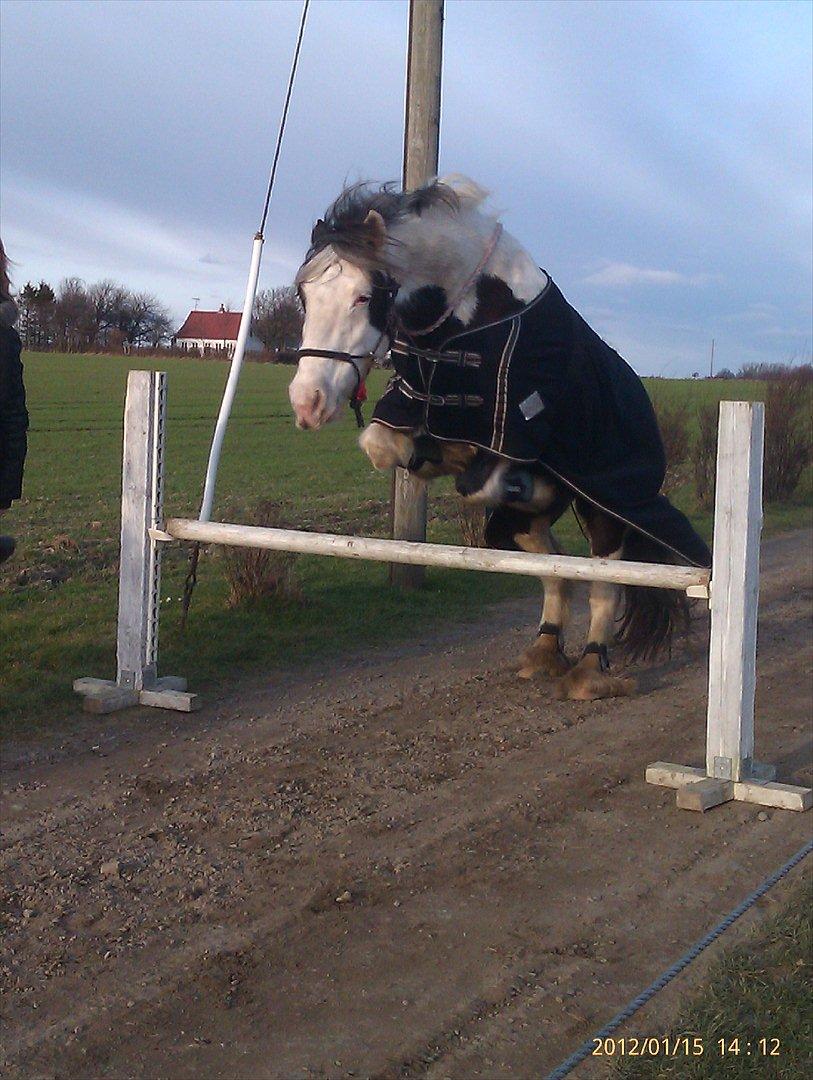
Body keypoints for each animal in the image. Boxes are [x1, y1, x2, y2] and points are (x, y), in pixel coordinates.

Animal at [289, 177, 708, 699]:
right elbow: (385, 445)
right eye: (304, 296)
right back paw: (544, 650)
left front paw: (466, 461)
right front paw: (437, 454)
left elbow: (479, 477)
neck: (472, 313)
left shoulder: (518, 425)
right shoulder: (410, 401)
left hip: (607, 505)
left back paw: (589, 671)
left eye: (364, 297)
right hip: (526, 525)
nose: (308, 404)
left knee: (603, 581)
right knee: (554, 564)